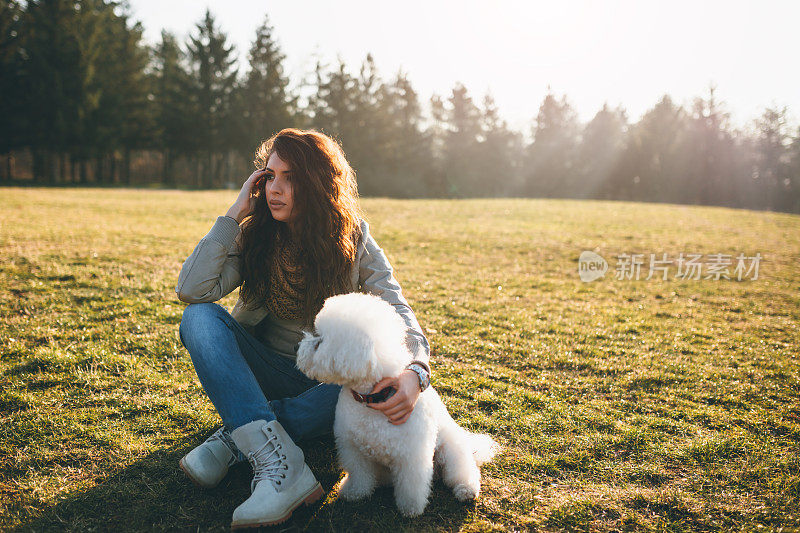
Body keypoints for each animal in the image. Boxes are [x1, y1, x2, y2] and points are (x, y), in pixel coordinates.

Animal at [294, 290, 500, 516]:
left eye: (320, 342)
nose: (297, 347)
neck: (371, 400)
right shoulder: (353, 448)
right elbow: (359, 474)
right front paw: (355, 493)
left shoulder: (412, 456)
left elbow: (412, 485)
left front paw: (411, 508)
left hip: (452, 451)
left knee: (463, 471)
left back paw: (466, 489)